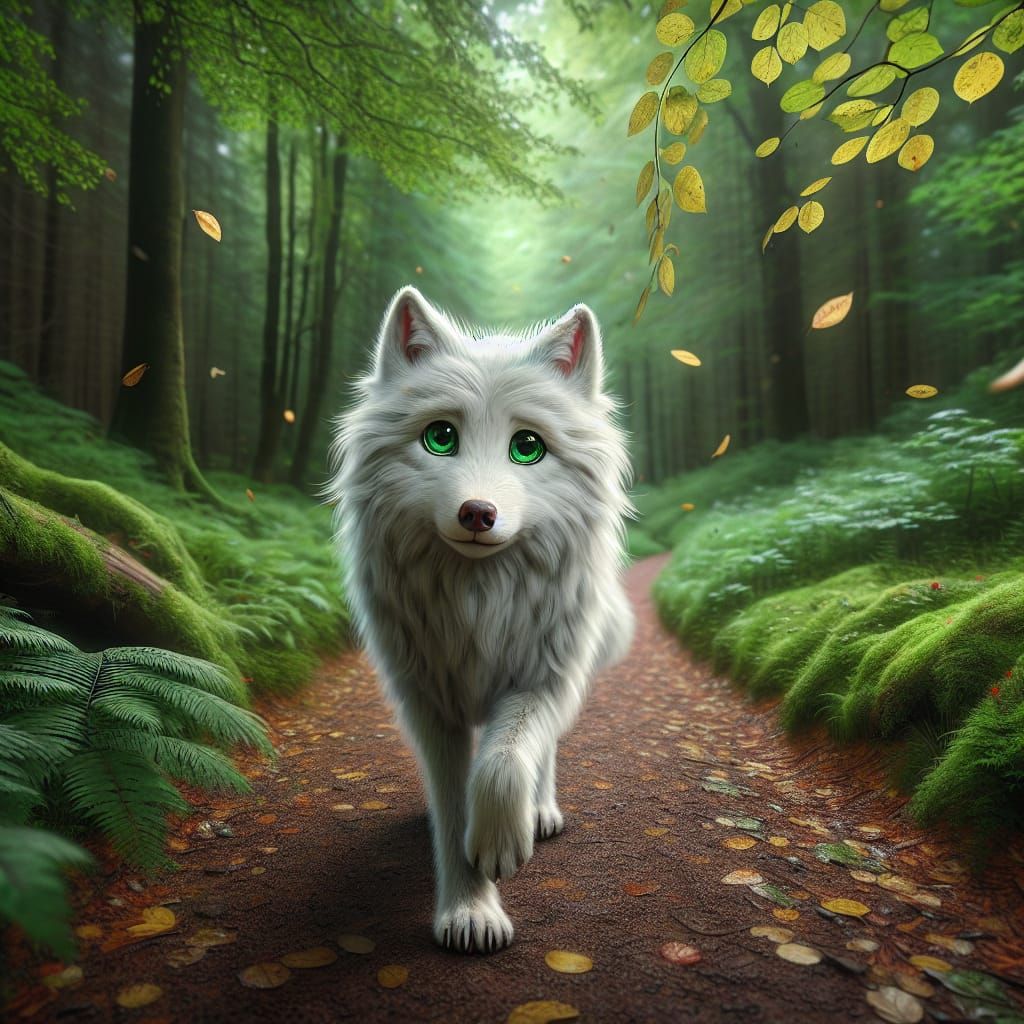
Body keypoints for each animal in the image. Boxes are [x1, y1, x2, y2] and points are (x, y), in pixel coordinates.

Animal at [328, 287, 634, 954]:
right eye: (440, 438)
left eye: (528, 447)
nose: (477, 513)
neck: (479, 602)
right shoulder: (428, 704)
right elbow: (452, 804)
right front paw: (468, 911)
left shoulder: (540, 679)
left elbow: (503, 762)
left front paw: (500, 842)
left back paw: (538, 812)